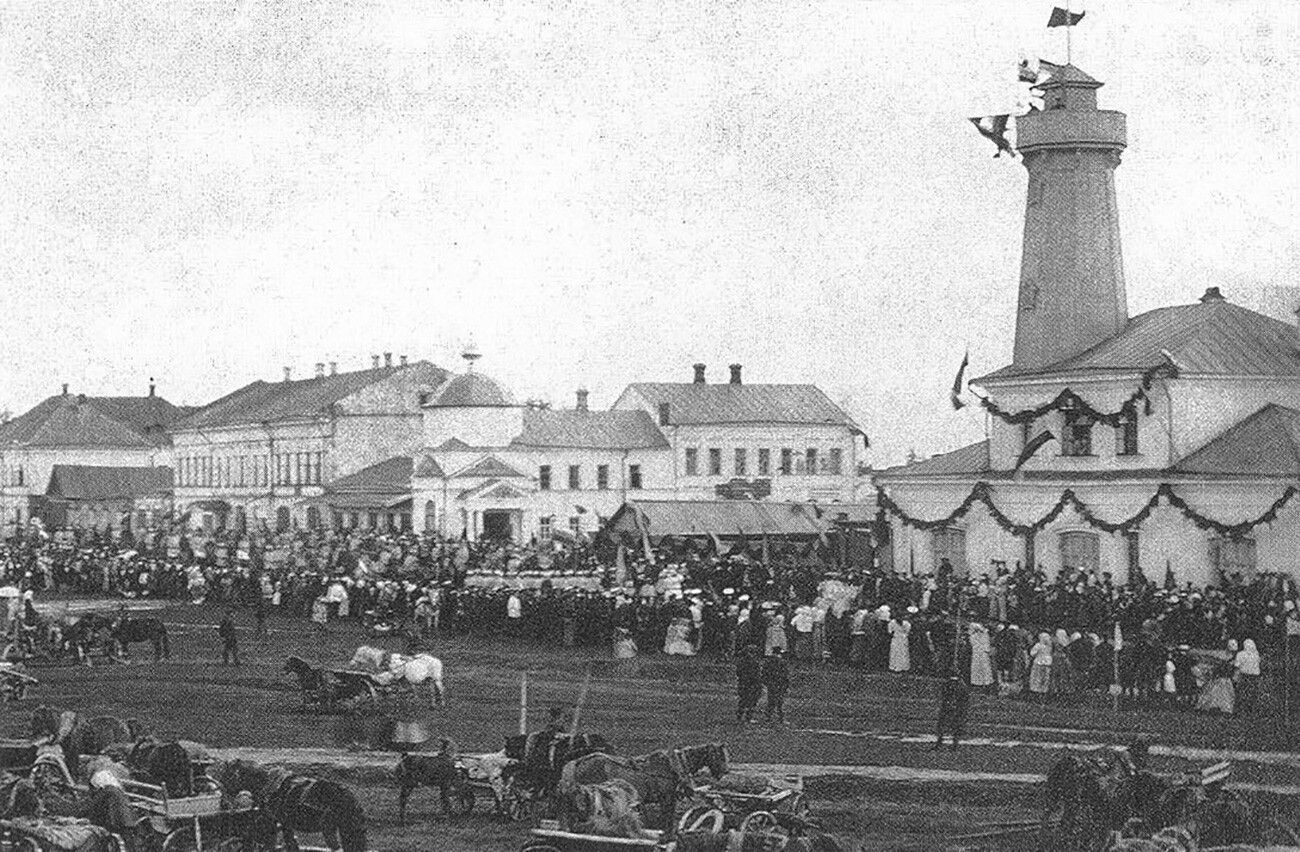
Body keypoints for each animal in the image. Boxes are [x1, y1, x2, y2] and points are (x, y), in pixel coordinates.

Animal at [213, 759, 366, 852]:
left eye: (226, 776)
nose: (223, 803)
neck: (265, 781)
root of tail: (349, 797)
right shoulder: (286, 825)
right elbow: (291, 844)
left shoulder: (271, 823)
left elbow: (270, 845)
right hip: (349, 830)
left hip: (330, 830)